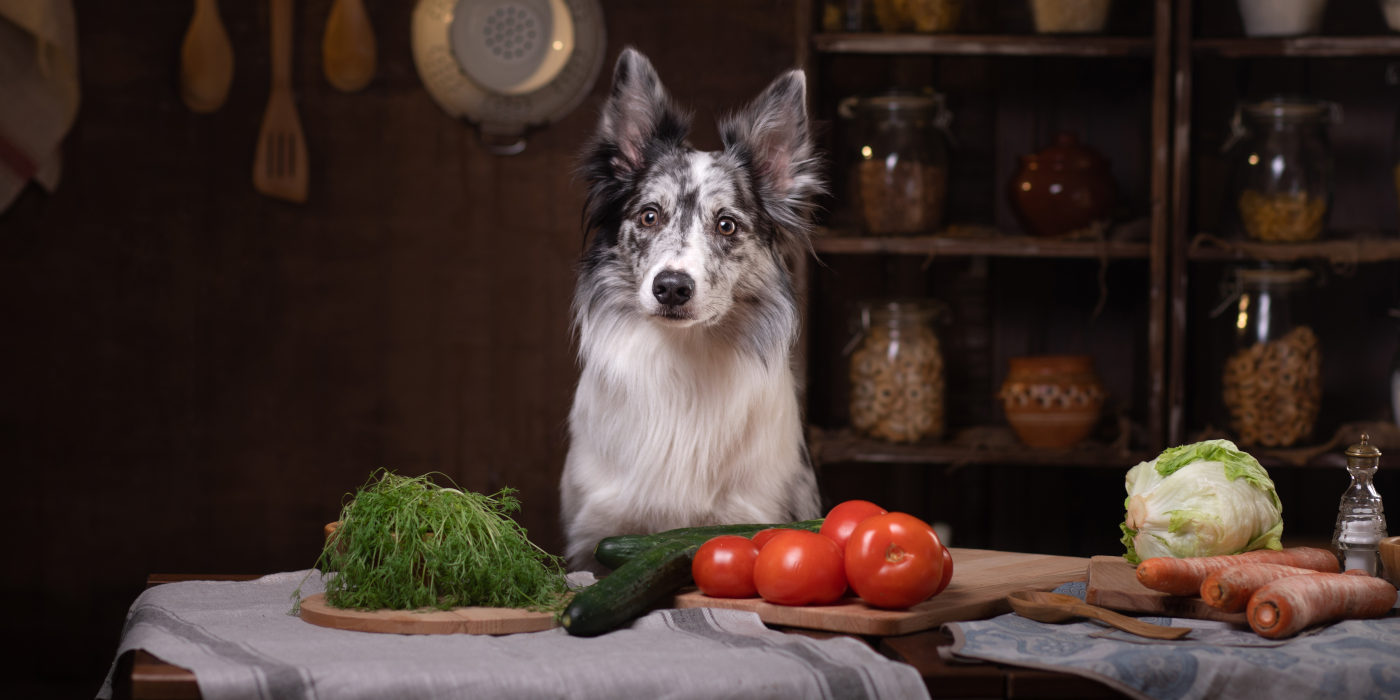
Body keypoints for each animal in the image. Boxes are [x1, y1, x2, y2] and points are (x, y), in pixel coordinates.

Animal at [557, 50, 817, 574]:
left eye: (726, 225)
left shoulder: (748, 512)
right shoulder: (591, 539)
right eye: (649, 216)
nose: (672, 288)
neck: (683, 359)